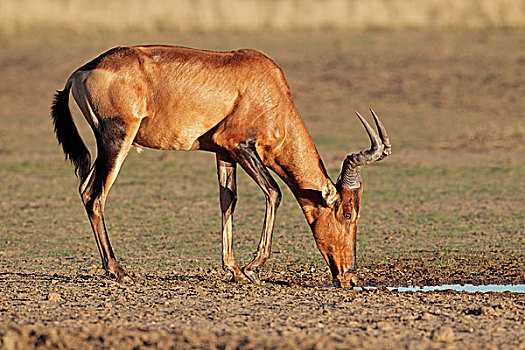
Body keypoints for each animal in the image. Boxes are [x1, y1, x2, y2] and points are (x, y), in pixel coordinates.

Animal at [52, 45, 388, 288]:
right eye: (347, 214)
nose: (349, 278)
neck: (267, 86)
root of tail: (80, 72)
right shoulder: (237, 144)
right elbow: (274, 192)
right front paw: (253, 269)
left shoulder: (223, 152)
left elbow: (228, 199)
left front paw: (234, 269)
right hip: (117, 138)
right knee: (96, 195)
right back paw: (117, 270)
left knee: (86, 190)